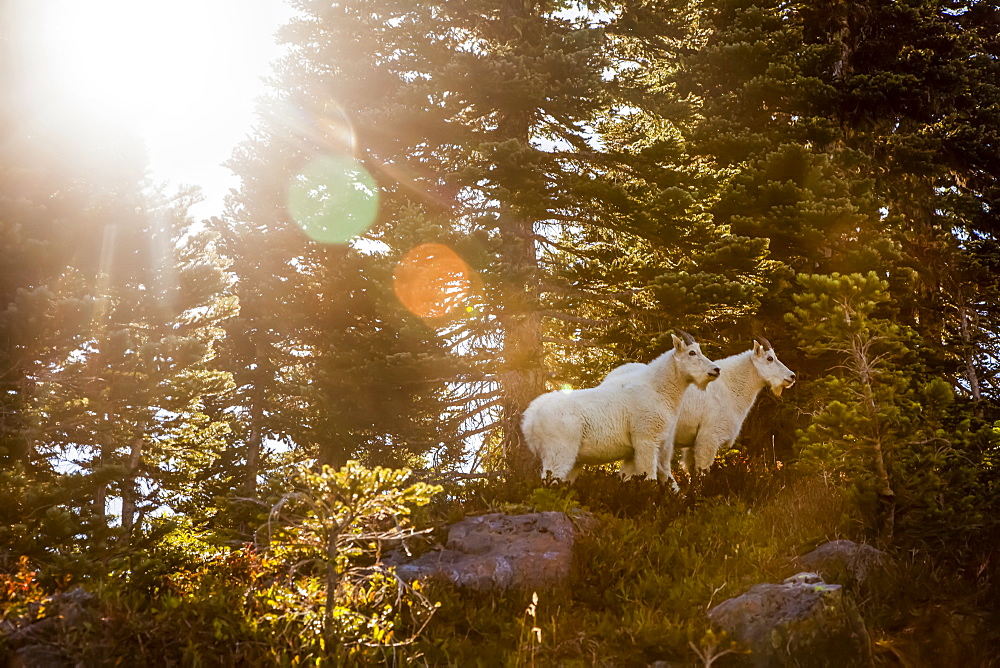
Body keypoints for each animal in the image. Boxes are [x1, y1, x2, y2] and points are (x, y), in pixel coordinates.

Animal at [520, 332, 724, 488]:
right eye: (692, 352)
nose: (716, 370)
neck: (659, 390)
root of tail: (530, 420)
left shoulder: (641, 450)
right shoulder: (645, 439)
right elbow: (649, 477)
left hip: (573, 460)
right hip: (559, 452)